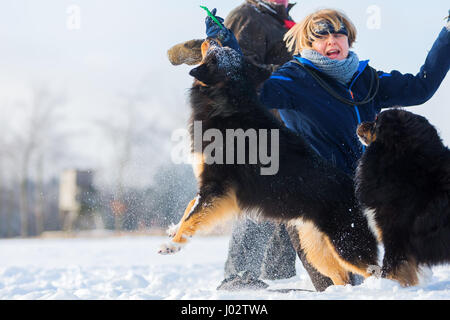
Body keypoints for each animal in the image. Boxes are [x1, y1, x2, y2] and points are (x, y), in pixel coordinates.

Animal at [159, 38, 380, 286]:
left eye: (217, 53)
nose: (212, 39)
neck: (229, 100)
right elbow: (190, 206)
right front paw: (173, 229)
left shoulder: (218, 186)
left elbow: (194, 215)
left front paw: (172, 245)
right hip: (317, 245)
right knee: (341, 276)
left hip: (346, 240)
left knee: (375, 270)